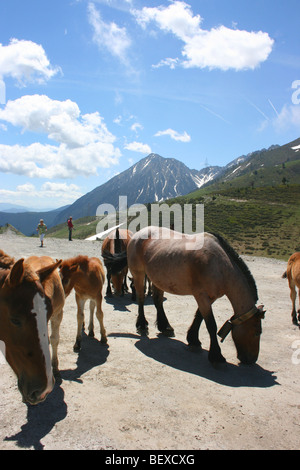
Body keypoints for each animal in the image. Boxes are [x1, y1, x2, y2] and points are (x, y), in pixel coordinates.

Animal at [103, 226, 264, 366]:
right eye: (257, 332)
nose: (251, 360)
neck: (220, 265)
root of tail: (136, 235)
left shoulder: (209, 297)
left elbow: (199, 317)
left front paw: (193, 339)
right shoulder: (201, 296)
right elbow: (210, 324)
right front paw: (216, 355)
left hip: (157, 278)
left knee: (158, 301)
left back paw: (165, 326)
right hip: (139, 274)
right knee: (141, 299)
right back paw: (142, 325)